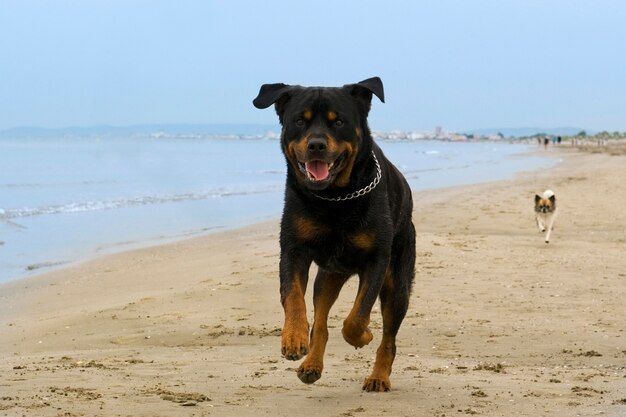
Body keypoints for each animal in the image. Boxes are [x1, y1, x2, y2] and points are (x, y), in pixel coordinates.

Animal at [251, 77, 412, 390]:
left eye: (338, 122)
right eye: (300, 121)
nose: (316, 145)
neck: (335, 198)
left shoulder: (376, 260)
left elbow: (358, 316)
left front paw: (363, 335)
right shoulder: (293, 249)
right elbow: (292, 295)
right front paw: (293, 336)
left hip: (398, 283)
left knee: (389, 337)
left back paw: (379, 376)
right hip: (328, 276)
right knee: (321, 320)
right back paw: (311, 364)